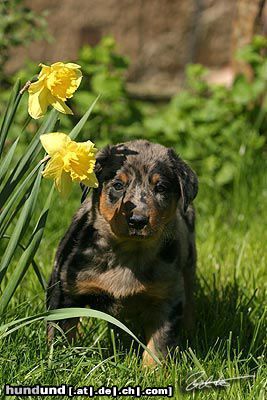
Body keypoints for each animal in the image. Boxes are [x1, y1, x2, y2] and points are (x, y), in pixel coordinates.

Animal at [46, 140, 199, 366]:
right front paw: (58, 361)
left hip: (188, 263)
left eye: (161, 188)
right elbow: (60, 332)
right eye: (118, 185)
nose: (137, 220)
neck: (129, 254)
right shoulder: (64, 289)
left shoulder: (167, 298)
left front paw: (152, 372)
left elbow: (159, 345)